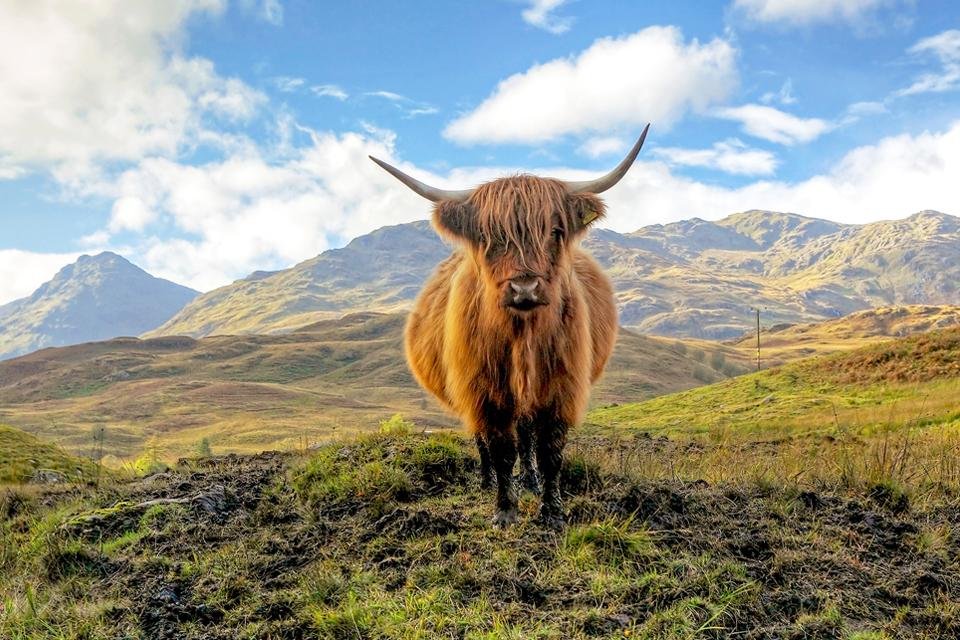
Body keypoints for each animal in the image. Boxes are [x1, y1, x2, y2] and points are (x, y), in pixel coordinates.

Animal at [372, 125, 648, 524]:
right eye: (488, 236)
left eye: (555, 231)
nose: (525, 287)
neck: (523, 335)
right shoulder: (482, 389)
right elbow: (500, 448)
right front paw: (504, 509)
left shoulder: (560, 387)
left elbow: (549, 450)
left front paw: (552, 511)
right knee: (484, 440)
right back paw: (488, 482)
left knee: (526, 435)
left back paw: (529, 482)